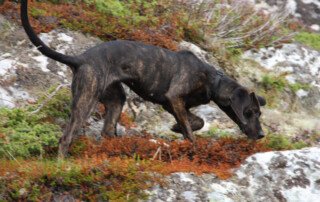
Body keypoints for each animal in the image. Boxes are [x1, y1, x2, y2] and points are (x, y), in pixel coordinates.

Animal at [20, 0, 268, 158]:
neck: (212, 80)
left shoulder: (172, 104)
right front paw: (192, 146)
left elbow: (197, 121)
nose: (262, 134)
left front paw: (176, 127)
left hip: (115, 98)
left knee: (107, 131)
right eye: (249, 112)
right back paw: (64, 165)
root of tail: (80, 59)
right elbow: (191, 130)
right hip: (86, 99)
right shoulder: (174, 97)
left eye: (259, 113)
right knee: (66, 138)